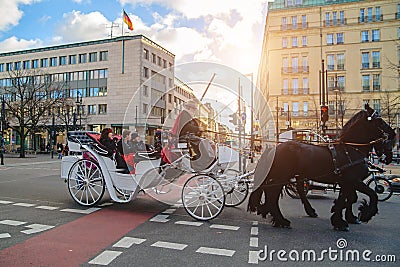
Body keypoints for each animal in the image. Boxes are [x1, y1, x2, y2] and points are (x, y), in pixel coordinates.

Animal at [248, 105, 396, 231]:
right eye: (379, 121)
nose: (393, 134)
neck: (351, 149)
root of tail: (274, 148)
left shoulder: (346, 182)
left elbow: (347, 198)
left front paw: (343, 218)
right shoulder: (353, 181)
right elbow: (372, 194)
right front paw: (362, 215)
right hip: (282, 176)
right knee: (273, 195)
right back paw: (281, 220)